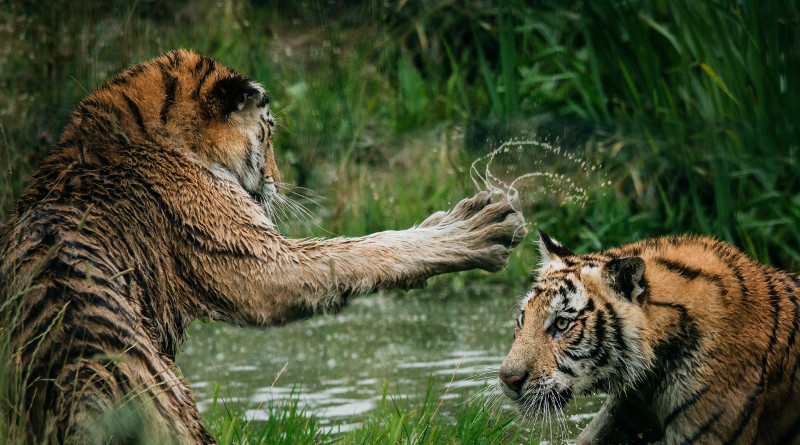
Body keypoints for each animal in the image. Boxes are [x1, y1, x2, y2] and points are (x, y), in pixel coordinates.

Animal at [0, 50, 532, 442]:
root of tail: (79, 390)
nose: (277, 180)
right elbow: (360, 250)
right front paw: (477, 227)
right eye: (269, 133)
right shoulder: (255, 260)